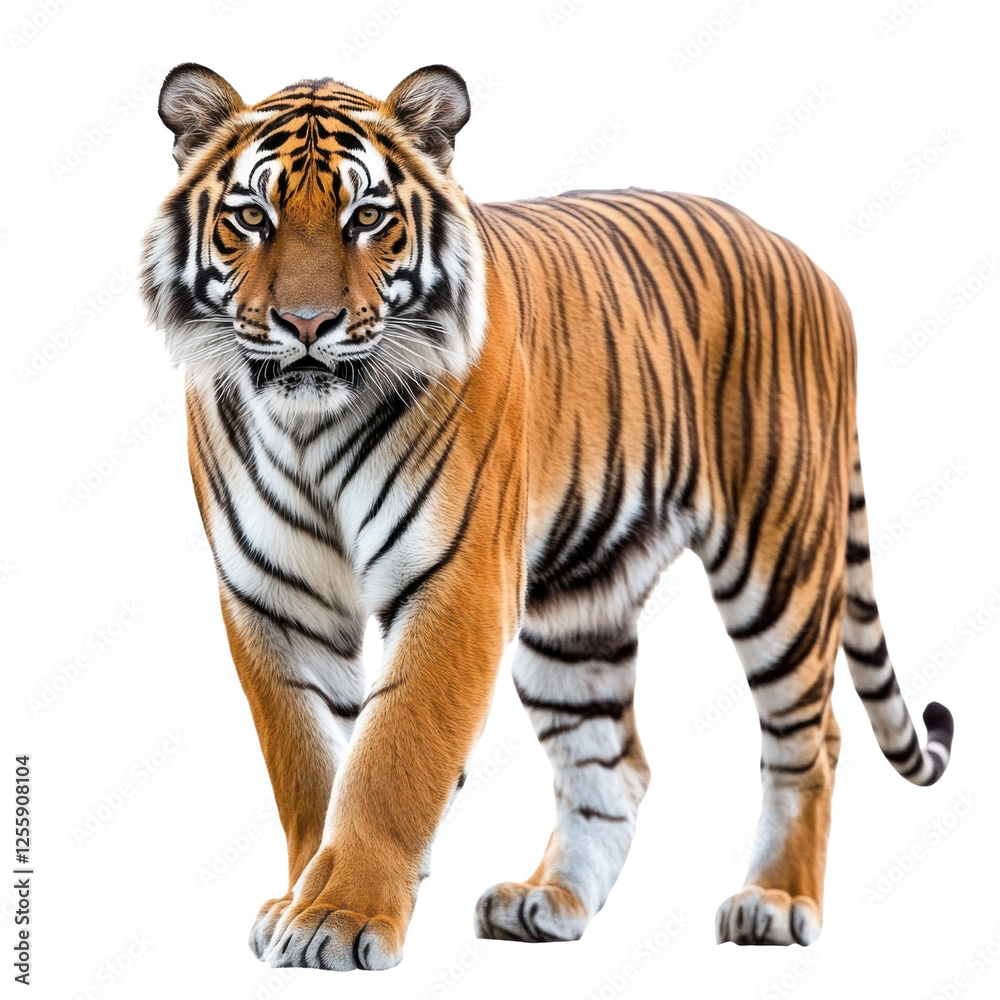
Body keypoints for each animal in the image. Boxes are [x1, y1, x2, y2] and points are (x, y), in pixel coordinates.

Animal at [140, 62, 955, 971]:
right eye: (252, 217)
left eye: (369, 218)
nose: (307, 325)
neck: (309, 423)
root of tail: (811, 263)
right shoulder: (274, 599)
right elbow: (311, 767)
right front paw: (301, 900)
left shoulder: (456, 579)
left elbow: (392, 755)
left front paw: (338, 918)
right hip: (577, 606)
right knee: (615, 763)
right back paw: (549, 902)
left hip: (778, 561)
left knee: (812, 739)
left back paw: (775, 902)